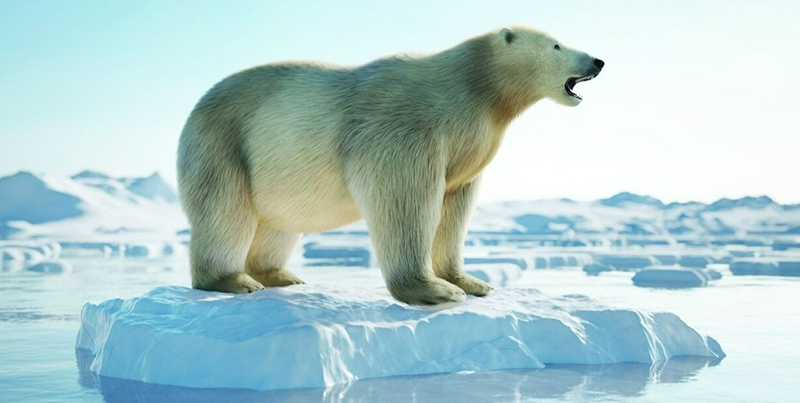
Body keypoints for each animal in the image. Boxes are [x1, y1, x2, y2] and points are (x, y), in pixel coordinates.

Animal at [175, 26, 600, 306]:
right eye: (557, 44)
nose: (597, 60)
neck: (473, 88)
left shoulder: (467, 147)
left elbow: (455, 207)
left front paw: (472, 282)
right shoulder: (405, 126)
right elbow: (405, 198)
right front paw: (435, 290)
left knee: (277, 223)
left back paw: (281, 275)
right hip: (224, 145)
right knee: (226, 213)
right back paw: (235, 280)